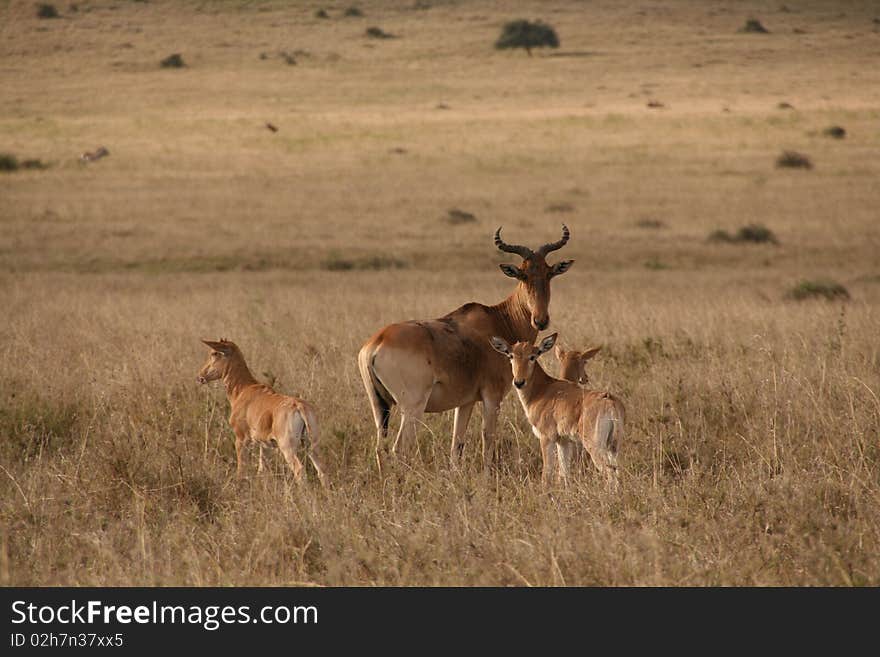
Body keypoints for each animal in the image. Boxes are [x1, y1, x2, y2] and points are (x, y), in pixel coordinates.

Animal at [196, 338, 326, 486]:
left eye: (214, 353)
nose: (200, 377)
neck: (245, 388)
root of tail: (299, 406)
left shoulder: (241, 439)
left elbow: (241, 469)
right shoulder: (265, 445)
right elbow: (262, 470)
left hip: (287, 447)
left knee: (300, 471)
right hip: (312, 445)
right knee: (321, 470)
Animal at [492, 334, 624, 486]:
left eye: (532, 356)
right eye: (511, 355)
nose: (519, 382)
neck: (544, 389)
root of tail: (610, 401)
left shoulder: (547, 438)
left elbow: (546, 474)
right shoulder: (563, 441)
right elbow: (564, 474)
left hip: (594, 446)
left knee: (609, 473)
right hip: (613, 447)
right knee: (617, 472)